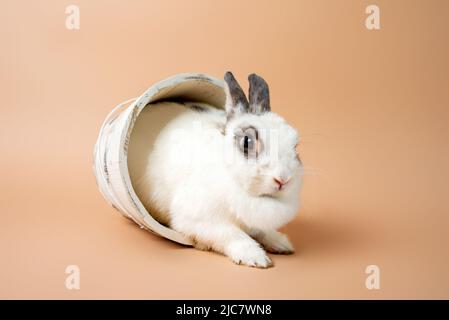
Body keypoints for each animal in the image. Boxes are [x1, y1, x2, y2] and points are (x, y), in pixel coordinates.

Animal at [130, 72, 304, 268]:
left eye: (295, 146)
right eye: (246, 142)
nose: (283, 179)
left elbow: (262, 232)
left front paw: (282, 244)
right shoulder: (202, 221)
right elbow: (234, 234)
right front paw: (256, 258)